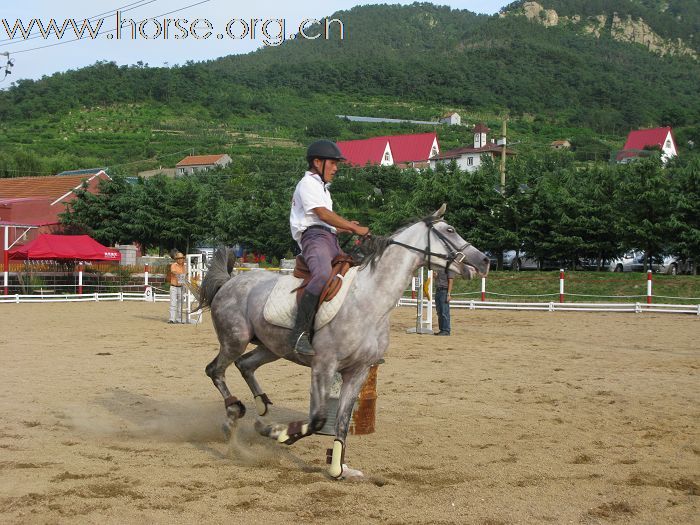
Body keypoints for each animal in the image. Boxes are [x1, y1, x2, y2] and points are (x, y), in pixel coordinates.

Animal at [200, 206, 490, 478]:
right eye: (450, 230)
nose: (485, 261)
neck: (371, 302)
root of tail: (230, 282)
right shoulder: (324, 366)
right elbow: (317, 420)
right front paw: (279, 433)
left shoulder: (358, 371)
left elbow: (341, 421)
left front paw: (338, 469)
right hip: (235, 340)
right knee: (215, 370)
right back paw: (232, 415)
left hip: (272, 348)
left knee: (245, 364)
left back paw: (259, 405)